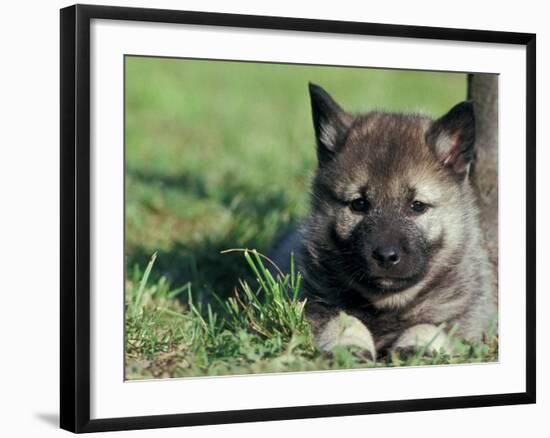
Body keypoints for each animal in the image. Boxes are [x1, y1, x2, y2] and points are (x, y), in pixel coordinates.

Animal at [274, 82, 498, 360]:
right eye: (359, 204)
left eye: (417, 206)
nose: (386, 256)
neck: (388, 304)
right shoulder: (316, 304)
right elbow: (343, 318)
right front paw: (347, 344)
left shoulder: (465, 318)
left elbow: (429, 325)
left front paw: (417, 345)